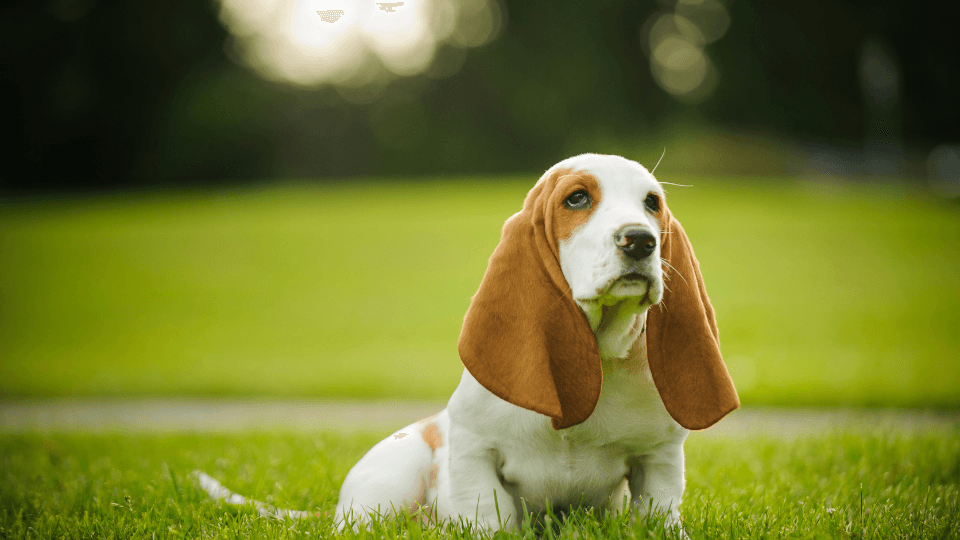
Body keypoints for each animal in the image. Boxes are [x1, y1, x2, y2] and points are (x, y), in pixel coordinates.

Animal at [334, 153, 740, 532]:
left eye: (652, 203)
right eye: (577, 198)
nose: (640, 240)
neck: (600, 352)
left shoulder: (659, 457)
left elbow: (659, 513)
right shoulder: (474, 450)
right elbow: (489, 513)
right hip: (393, 478)